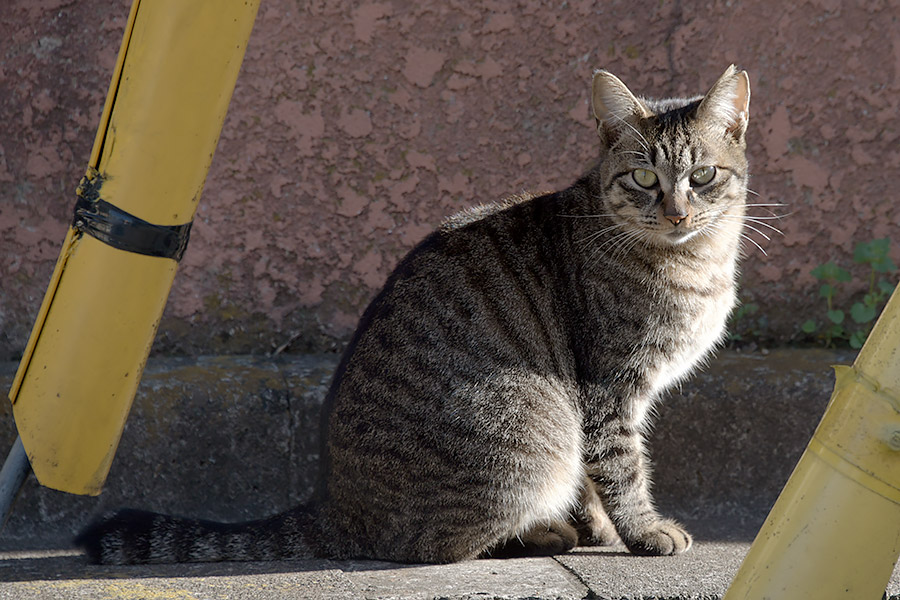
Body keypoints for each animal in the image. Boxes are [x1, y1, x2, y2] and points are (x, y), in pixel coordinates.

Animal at [77, 67, 752, 568]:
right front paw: (642, 531)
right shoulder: (607, 389)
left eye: (702, 174)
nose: (676, 213)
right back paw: (538, 534)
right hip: (528, 428)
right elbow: (620, 469)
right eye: (642, 176)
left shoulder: (600, 399)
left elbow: (592, 480)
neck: (697, 260)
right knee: (441, 546)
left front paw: (601, 530)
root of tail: (335, 505)